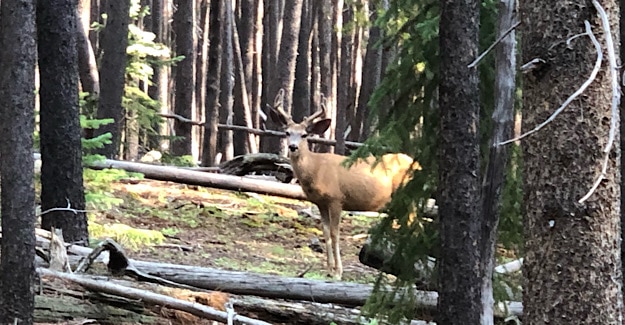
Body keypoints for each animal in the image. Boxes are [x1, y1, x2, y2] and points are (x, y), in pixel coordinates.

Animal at [268, 89, 420, 278]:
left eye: (304, 134)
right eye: (287, 132)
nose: (293, 147)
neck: (316, 169)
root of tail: (417, 163)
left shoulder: (336, 199)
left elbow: (335, 233)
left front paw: (338, 272)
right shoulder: (320, 203)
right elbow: (325, 233)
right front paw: (329, 269)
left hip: (407, 196)